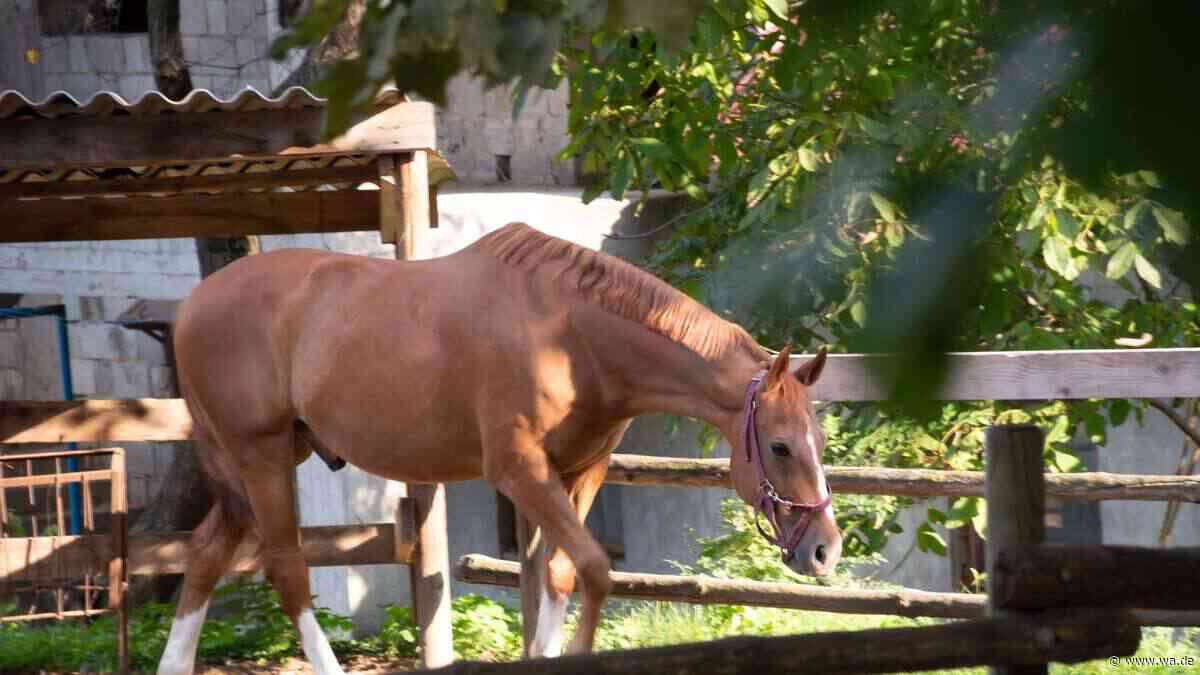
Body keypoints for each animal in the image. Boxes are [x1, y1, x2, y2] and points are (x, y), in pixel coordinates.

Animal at [155, 222, 842, 675]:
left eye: (819, 439)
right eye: (780, 446)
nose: (825, 549)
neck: (572, 335)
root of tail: (192, 305)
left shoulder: (580, 471)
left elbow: (559, 576)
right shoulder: (520, 473)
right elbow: (594, 568)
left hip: (258, 465)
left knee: (206, 555)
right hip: (262, 458)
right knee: (286, 568)